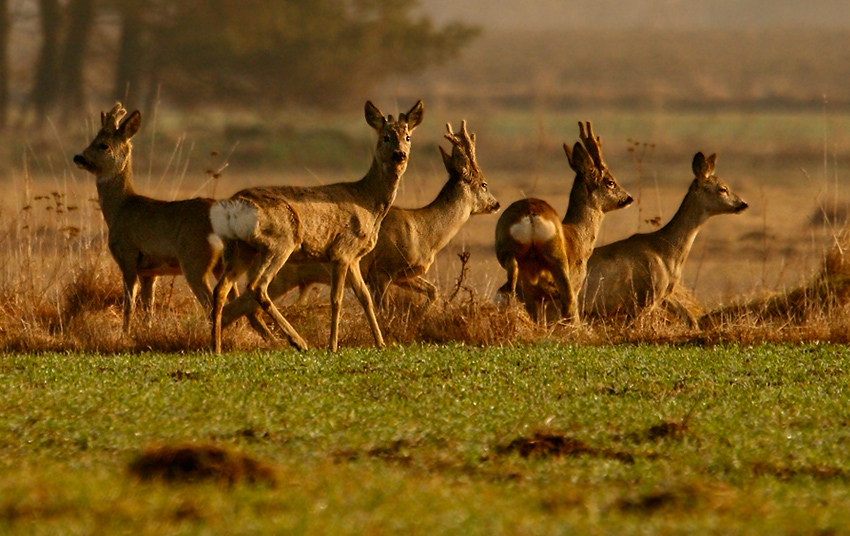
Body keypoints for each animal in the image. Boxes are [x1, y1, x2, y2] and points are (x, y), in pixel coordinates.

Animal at [73, 102, 224, 332]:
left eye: (104, 145)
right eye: (92, 140)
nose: (78, 158)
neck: (121, 209)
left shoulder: (128, 254)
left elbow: (129, 304)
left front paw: (124, 334)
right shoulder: (149, 272)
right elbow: (148, 308)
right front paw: (146, 331)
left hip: (195, 259)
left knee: (211, 304)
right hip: (220, 264)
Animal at [210, 99, 422, 356]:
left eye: (408, 136)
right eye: (386, 137)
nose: (399, 154)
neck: (368, 202)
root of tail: (232, 208)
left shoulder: (354, 257)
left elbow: (365, 297)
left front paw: (381, 342)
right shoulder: (342, 250)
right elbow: (336, 299)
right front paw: (333, 346)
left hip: (239, 248)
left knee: (221, 289)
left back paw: (216, 347)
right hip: (279, 242)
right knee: (257, 286)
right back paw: (298, 342)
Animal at [215, 119, 500, 328]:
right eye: (484, 183)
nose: (496, 204)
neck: (423, 231)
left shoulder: (403, 274)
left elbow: (432, 292)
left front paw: (418, 319)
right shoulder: (382, 270)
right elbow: (384, 308)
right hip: (282, 273)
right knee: (243, 303)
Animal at [490, 121, 628, 322]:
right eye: (610, 182)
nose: (628, 198)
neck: (579, 235)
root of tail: (531, 214)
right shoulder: (577, 278)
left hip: (507, 252)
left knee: (508, 288)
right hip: (558, 259)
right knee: (569, 303)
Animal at [580, 151, 744, 326]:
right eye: (723, 189)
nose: (743, 204)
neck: (666, 250)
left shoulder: (666, 293)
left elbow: (690, 318)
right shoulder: (645, 296)